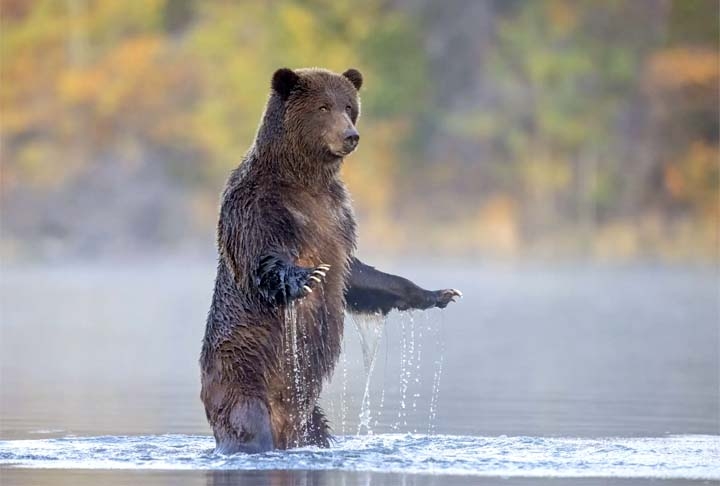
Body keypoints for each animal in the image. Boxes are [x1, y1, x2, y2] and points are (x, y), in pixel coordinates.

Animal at [200, 66, 462, 454]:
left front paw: (440, 293)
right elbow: (261, 259)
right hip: (242, 375)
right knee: (247, 423)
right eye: (323, 107)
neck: (304, 180)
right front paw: (305, 277)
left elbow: (358, 276)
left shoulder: (338, 220)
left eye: (349, 107)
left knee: (317, 430)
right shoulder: (258, 206)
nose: (351, 136)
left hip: (309, 415)